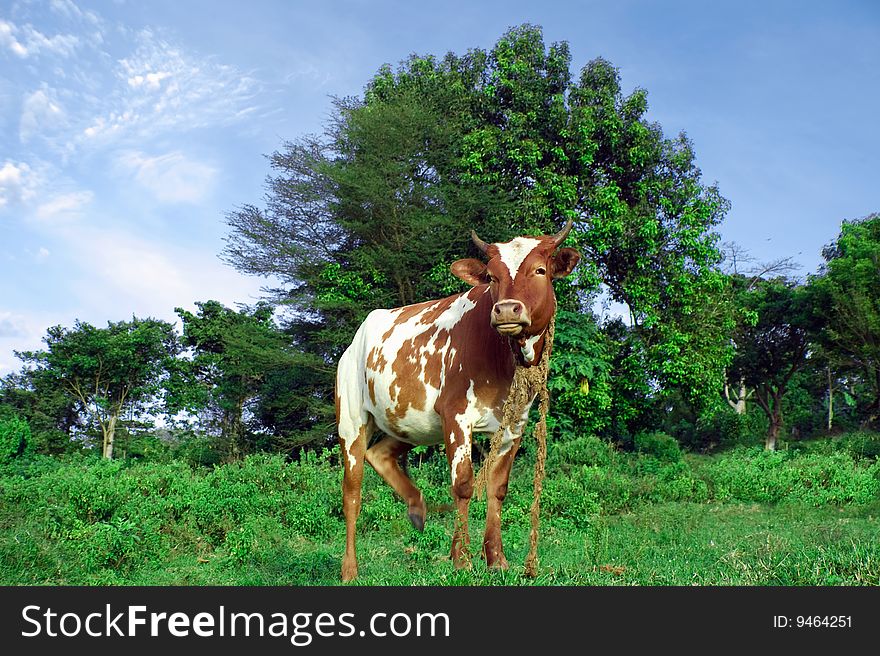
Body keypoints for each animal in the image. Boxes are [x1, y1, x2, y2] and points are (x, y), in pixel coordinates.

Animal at [336, 219, 576, 580]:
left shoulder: (514, 424)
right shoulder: (456, 416)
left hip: (412, 420)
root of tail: (357, 338)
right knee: (352, 492)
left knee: (380, 454)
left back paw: (418, 508)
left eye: (540, 270)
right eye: (491, 276)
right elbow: (463, 485)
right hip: (351, 419)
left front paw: (496, 559)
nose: (506, 309)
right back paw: (349, 568)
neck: (503, 360)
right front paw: (461, 558)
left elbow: (497, 488)